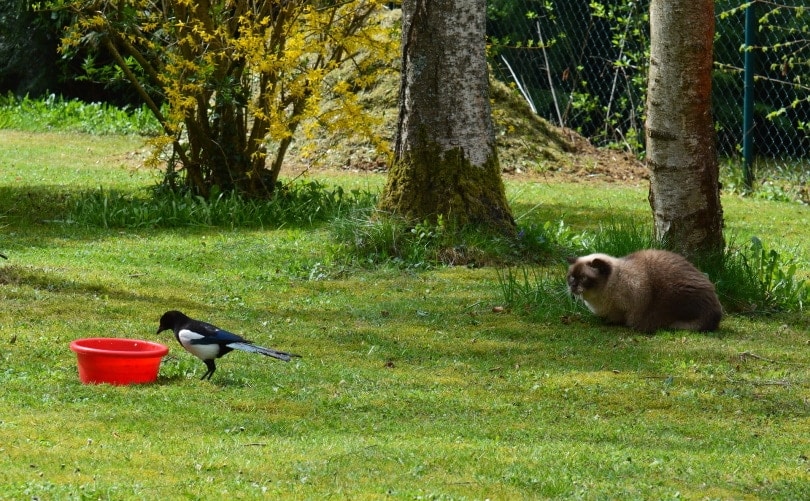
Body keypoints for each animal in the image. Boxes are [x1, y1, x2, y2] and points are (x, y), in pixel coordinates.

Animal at [564, 249, 724, 332]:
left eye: (583, 278)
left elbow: (620, 317)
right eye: (571, 277)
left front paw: (612, 322)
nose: (572, 286)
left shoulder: (627, 305)